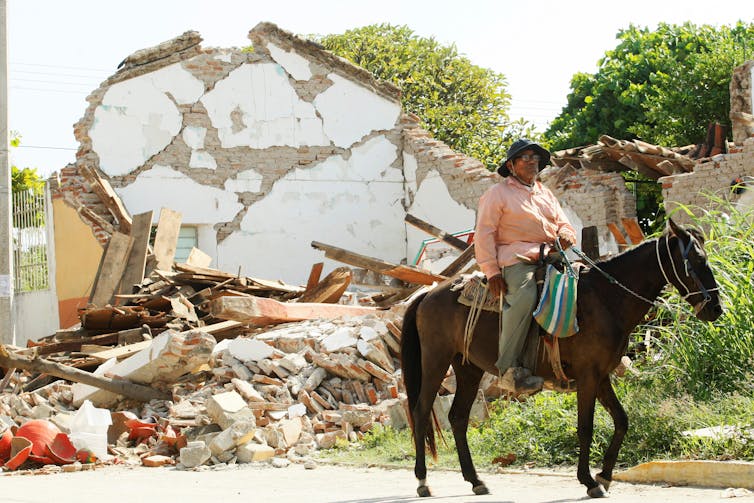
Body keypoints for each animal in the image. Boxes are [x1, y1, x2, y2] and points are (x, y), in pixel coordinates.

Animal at [400, 220, 724, 500]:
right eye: (696, 259)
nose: (716, 309)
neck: (605, 299)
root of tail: (428, 294)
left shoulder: (601, 375)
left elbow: (621, 420)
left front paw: (605, 476)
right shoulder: (588, 376)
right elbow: (585, 428)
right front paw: (589, 481)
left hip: (467, 368)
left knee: (457, 417)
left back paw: (475, 480)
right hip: (436, 360)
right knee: (421, 411)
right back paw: (422, 481)